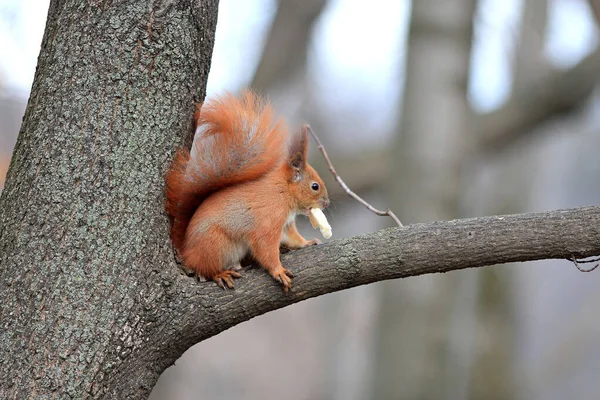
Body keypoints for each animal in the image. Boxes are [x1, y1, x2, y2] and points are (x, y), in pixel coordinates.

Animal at [166, 90, 330, 290]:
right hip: (215, 245)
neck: (283, 192)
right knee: (206, 268)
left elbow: (293, 238)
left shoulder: (286, 224)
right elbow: (265, 247)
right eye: (315, 186)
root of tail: (186, 251)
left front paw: (308, 242)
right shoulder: (268, 220)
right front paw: (278, 271)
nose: (327, 203)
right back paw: (220, 274)